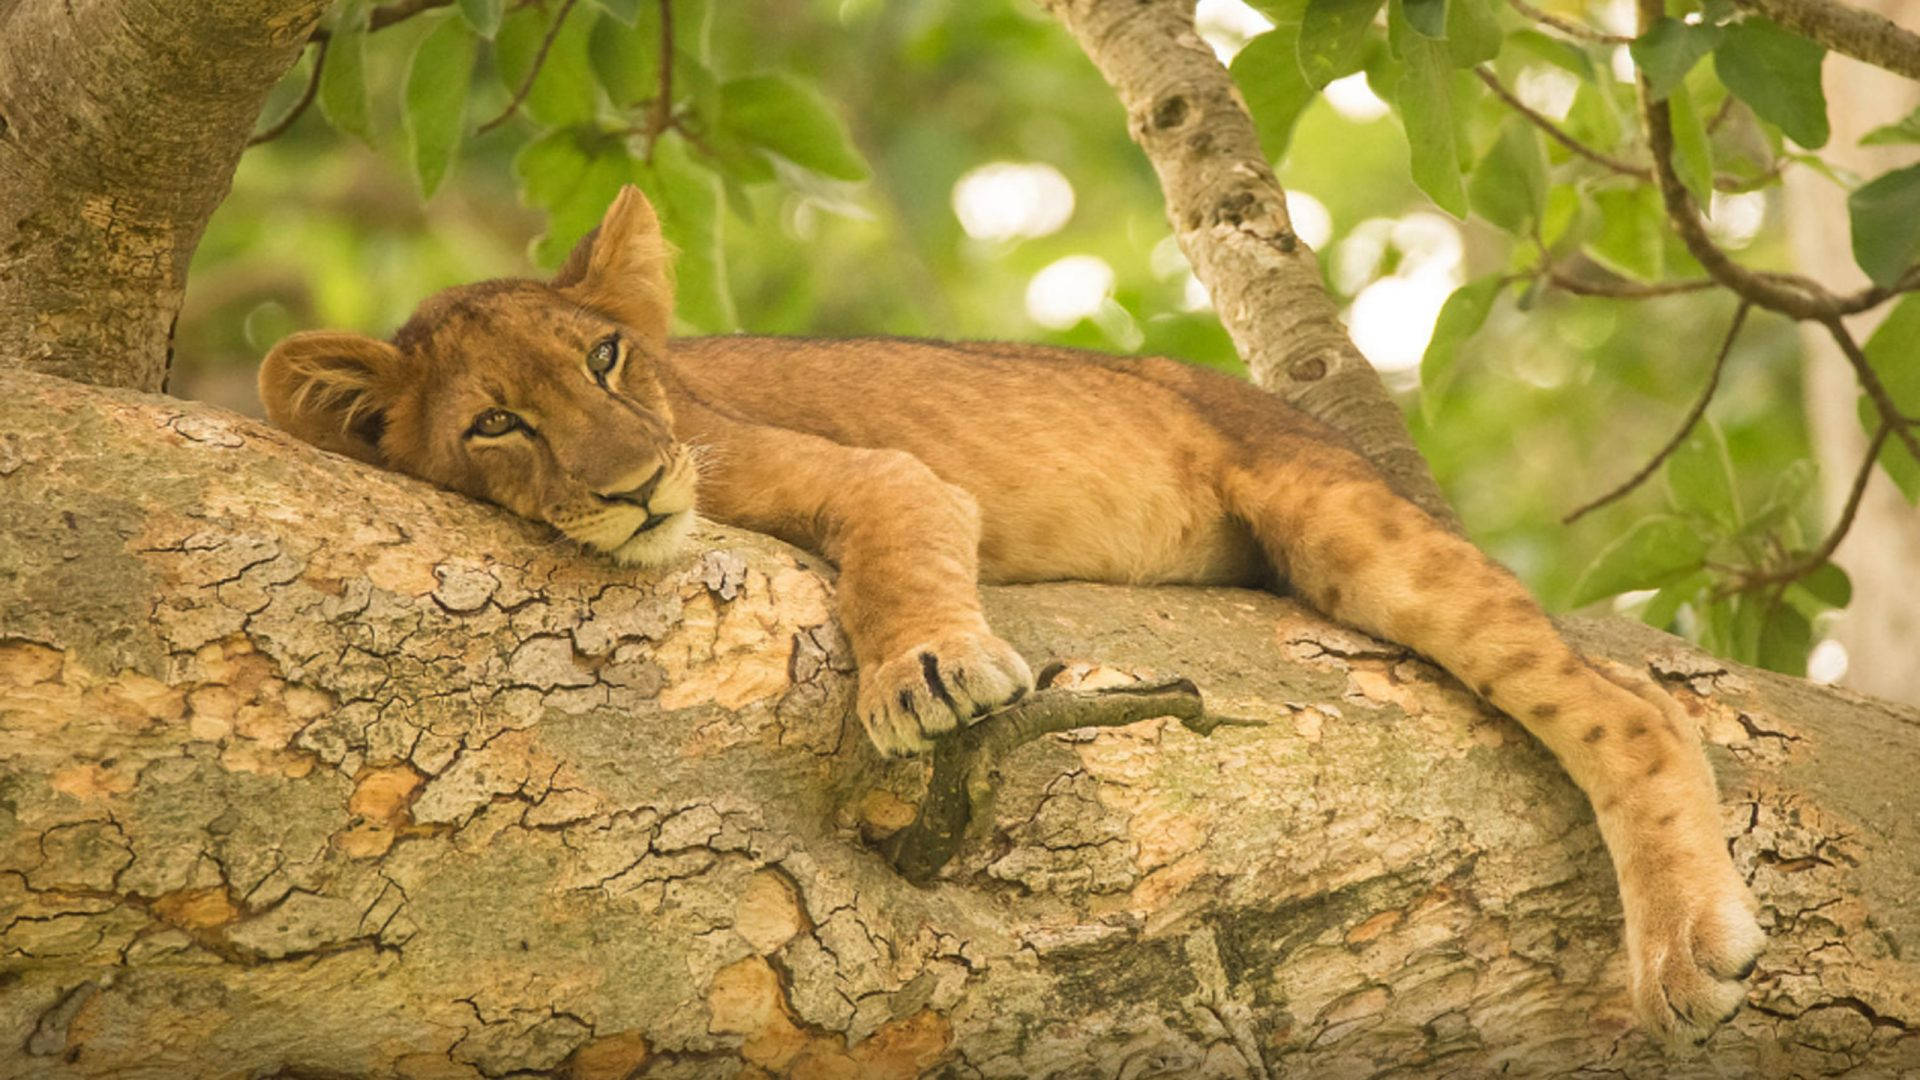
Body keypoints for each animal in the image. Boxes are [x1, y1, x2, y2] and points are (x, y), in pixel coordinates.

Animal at [260, 185, 1763, 1044]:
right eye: (496, 424)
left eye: (608, 357)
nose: (634, 486)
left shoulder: (855, 469)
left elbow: (898, 552)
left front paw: (927, 672)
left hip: (1342, 522)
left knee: (1622, 702)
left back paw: (1683, 953)